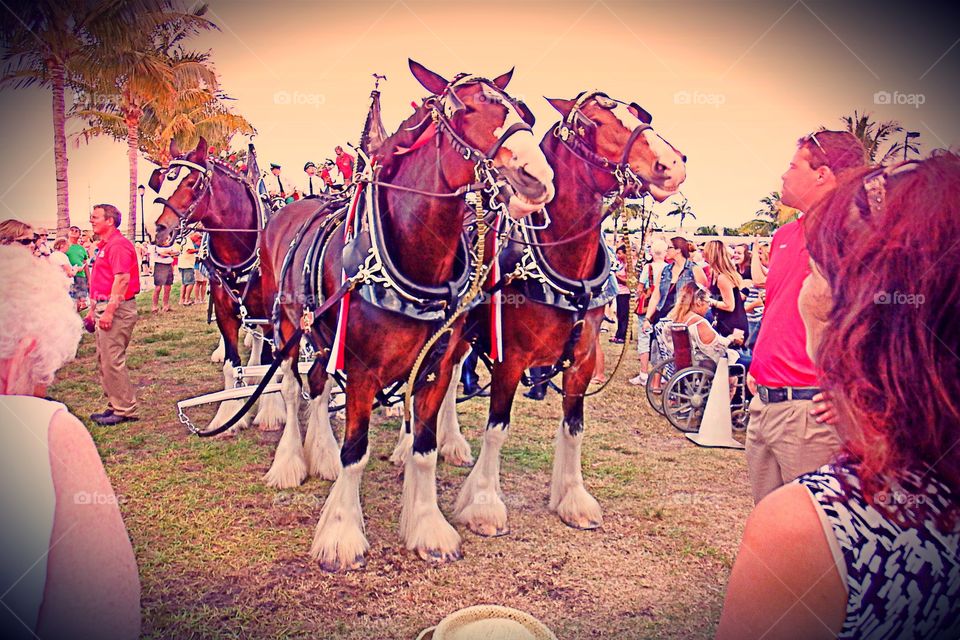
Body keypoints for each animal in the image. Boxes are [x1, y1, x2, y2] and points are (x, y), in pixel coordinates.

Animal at [152, 139, 288, 436]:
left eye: (192, 182)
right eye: (163, 181)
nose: (159, 230)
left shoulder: (270, 312)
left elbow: (271, 363)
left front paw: (270, 412)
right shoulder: (226, 311)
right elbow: (231, 365)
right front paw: (229, 414)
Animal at [258, 61, 556, 568]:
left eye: (525, 113)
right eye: (461, 110)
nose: (537, 178)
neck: (413, 256)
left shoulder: (435, 367)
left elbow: (424, 448)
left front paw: (426, 527)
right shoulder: (362, 370)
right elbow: (356, 451)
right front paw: (341, 533)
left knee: (317, 384)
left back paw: (320, 454)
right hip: (287, 324)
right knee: (294, 384)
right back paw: (291, 463)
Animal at [432, 91, 688, 536]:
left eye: (638, 113)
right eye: (591, 124)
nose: (671, 164)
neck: (562, 261)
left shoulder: (581, 360)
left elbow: (574, 428)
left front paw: (573, 499)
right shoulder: (510, 359)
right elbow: (497, 428)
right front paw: (484, 504)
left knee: (447, 381)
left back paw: (451, 445)